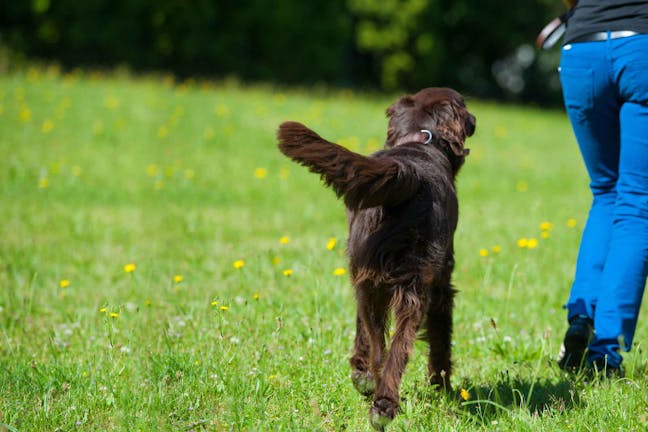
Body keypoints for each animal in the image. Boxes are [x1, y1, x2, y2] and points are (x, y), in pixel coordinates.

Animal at [276, 87, 474, 428]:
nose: (473, 120)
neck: (420, 139)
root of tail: (408, 174)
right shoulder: (441, 285)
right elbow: (440, 338)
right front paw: (442, 385)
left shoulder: (364, 278)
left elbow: (363, 330)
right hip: (414, 286)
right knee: (398, 347)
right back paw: (384, 402)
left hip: (370, 279)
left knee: (379, 346)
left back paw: (372, 387)